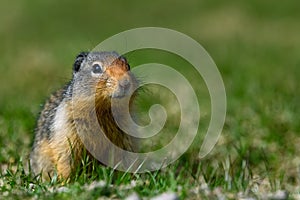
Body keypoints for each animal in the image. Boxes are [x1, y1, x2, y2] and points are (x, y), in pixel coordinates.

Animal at [30, 51, 138, 180]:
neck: (103, 111)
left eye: (128, 66)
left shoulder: (126, 138)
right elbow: (66, 161)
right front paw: (65, 181)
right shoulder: (67, 135)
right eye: (96, 68)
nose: (125, 83)